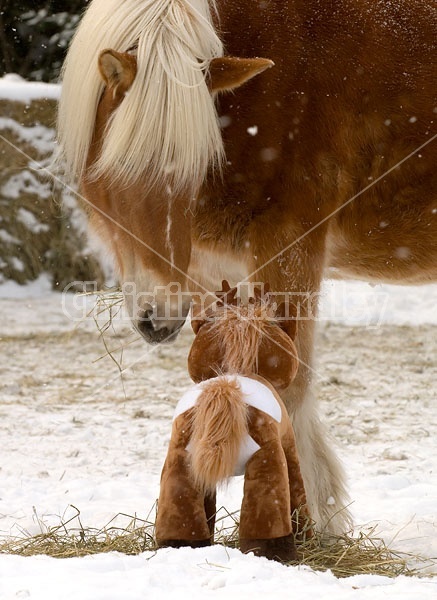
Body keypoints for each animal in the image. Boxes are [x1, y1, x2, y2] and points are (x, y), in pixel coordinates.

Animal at [56, 0, 434, 536]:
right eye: (121, 171)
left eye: (196, 168)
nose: (159, 318)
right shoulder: (210, 274)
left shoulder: (290, 246)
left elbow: (286, 387)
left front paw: (305, 524)